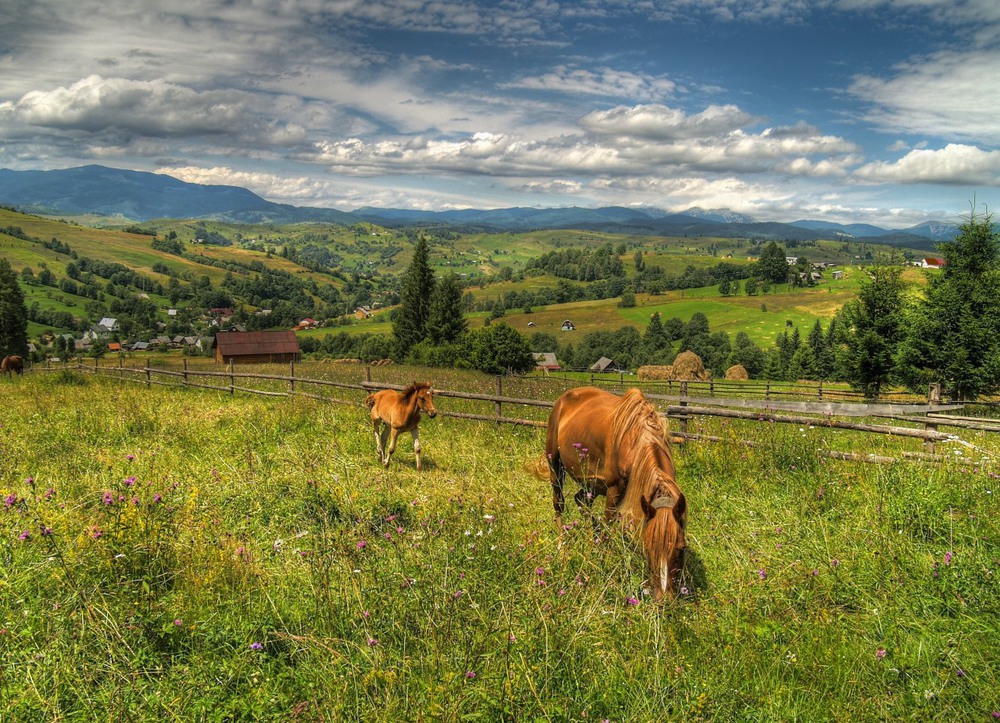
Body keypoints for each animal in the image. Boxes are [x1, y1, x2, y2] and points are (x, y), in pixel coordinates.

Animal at [540, 388, 688, 604]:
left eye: (682, 549)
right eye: (648, 548)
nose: (664, 600)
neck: (636, 439)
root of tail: (564, 398)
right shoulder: (614, 489)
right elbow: (608, 528)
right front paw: (602, 563)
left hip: (591, 483)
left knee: (581, 501)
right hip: (555, 466)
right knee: (559, 504)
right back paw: (562, 545)